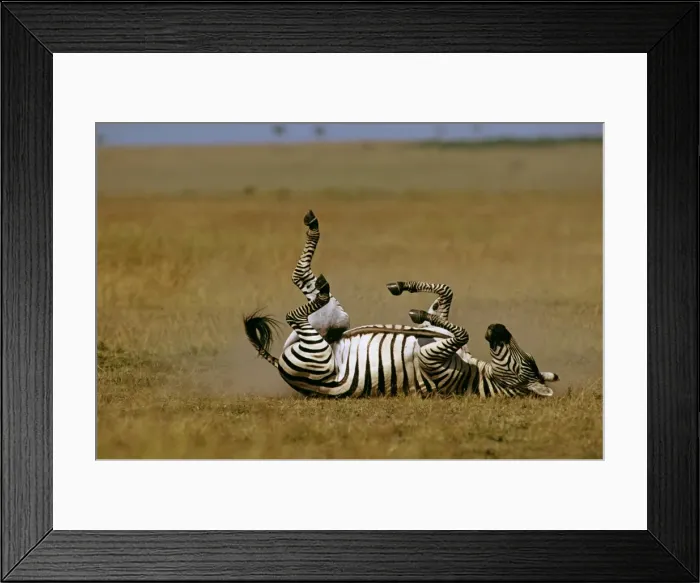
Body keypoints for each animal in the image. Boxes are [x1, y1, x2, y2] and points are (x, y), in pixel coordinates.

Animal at [243, 274, 560, 399]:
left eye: (522, 363)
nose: (498, 327)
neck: (474, 375)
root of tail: (281, 365)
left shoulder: (431, 358)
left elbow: (460, 330)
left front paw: (417, 313)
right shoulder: (438, 336)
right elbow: (446, 292)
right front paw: (405, 290)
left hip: (316, 352)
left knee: (294, 316)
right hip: (330, 325)